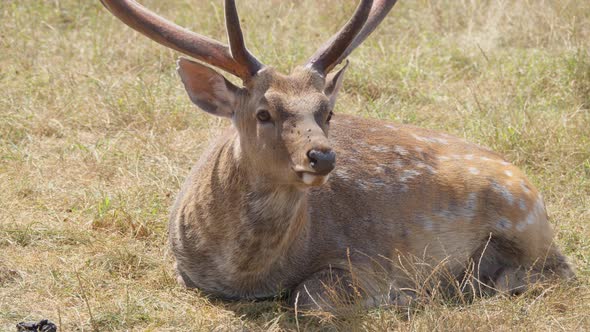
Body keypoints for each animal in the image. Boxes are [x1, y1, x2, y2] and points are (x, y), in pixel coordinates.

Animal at [99, 0, 576, 312]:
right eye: (263, 112)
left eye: (327, 111)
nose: (322, 157)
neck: (247, 276)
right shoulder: (182, 268)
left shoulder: (365, 258)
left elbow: (307, 298)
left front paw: (397, 298)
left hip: (522, 218)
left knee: (555, 272)